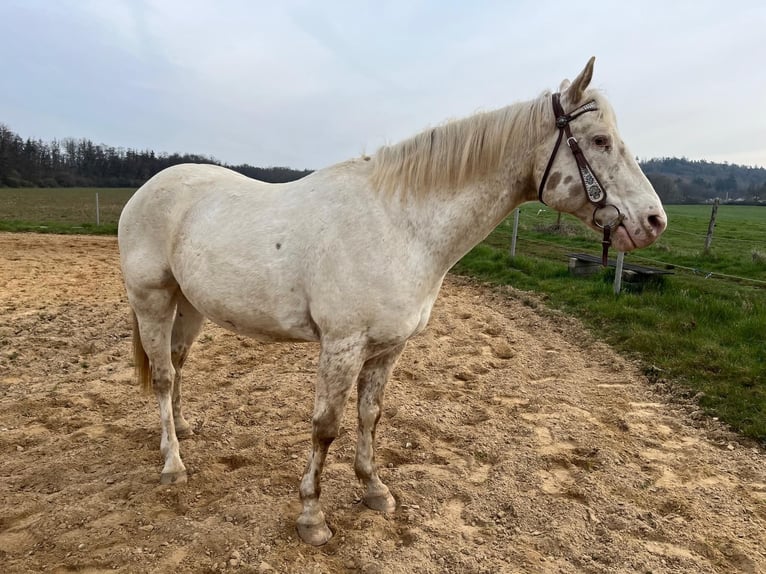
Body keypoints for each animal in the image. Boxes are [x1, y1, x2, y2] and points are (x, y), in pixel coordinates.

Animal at [118, 57, 666, 546]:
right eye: (599, 141)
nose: (654, 221)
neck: (400, 224)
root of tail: (147, 190)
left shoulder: (388, 347)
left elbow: (370, 415)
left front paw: (374, 490)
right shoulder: (341, 346)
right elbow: (326, 426)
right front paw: (312, 517)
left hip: (190, 305)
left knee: (178, 364)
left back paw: (183, 429)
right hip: (152, 300)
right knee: (163, 376)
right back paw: (173, 463)